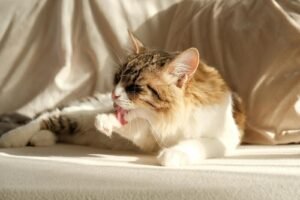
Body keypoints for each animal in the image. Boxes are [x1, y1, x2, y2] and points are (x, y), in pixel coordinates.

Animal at [0, 32, 245, 166]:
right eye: (117, 78)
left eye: (135, 87)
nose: (113, 95)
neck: (170, 118)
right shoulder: (148, 134)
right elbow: (132, 123)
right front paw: (107, 120)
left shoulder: (223, 137)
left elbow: (197, 143)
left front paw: (173, 154)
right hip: (80, 112)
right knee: (46, 117)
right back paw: (13, 138)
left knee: (52, 123)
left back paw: (42, 139)